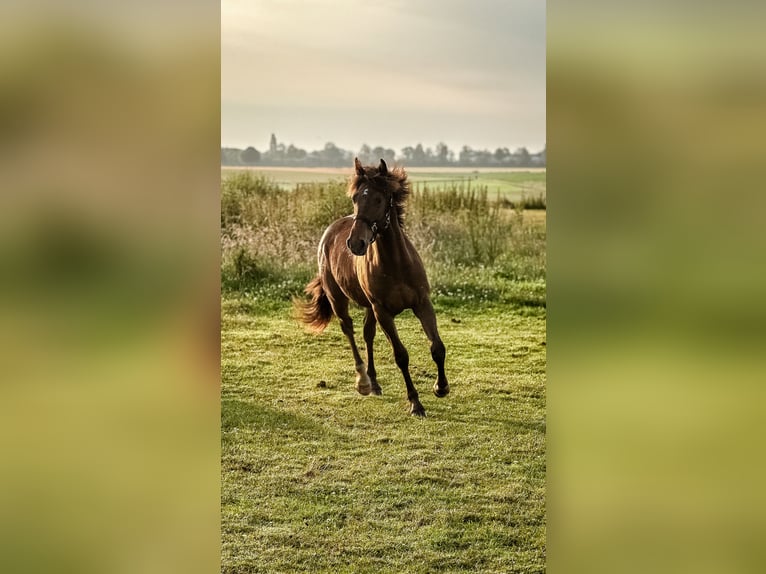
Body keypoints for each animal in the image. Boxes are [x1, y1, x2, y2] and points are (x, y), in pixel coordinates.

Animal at [294, 158, 450, 418]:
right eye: (355, 198)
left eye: (379, 199)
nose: (356, 243)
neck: (396, 263)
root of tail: (330, 232)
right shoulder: (383, 312)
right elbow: (401, 355)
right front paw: (415, 403)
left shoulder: (422, 304)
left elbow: (437, 347)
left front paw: (441, 387)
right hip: (339, 299)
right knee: (349, 330)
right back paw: (364, 382)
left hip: (369, 307)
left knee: (368, 334)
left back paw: (375, 383)